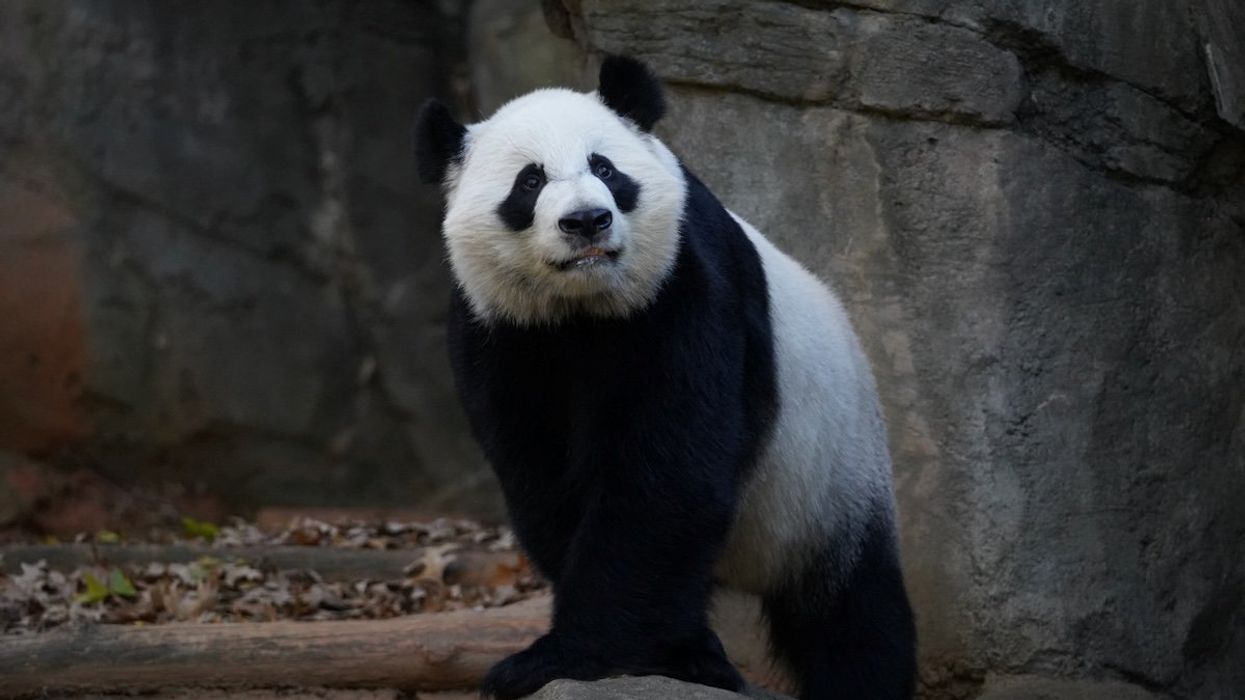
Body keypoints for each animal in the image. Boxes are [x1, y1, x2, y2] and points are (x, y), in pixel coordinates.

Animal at [415, 56, 916, 700]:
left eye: (604, 167)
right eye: (530, 182)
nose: (587, 221)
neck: (582, 310)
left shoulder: (685, 286)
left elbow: (667, 476)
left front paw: (559, 657)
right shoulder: (501, 330)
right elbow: (543, 478)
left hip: (831, 480)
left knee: (853, 613)